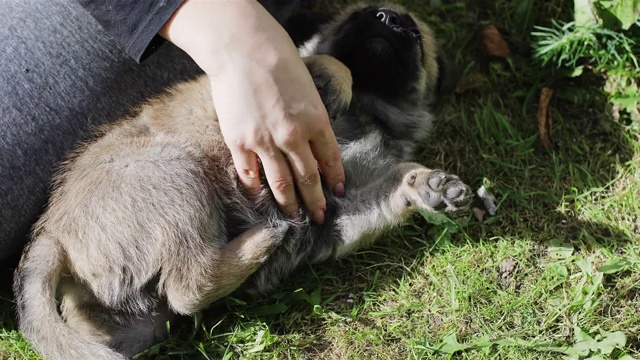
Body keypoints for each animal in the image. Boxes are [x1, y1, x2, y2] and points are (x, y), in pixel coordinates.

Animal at [12, 3, 472, 360]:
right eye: (359, 16)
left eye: (413, 35)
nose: (388, 20)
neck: (369, 109)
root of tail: (53, 233)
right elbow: (334, 65)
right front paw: (339, 81)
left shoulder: (339, 210)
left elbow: (392, 183)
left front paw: (428, 185)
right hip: (176, 173)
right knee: (186, 285)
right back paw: (263, 240)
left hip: (139, 320)